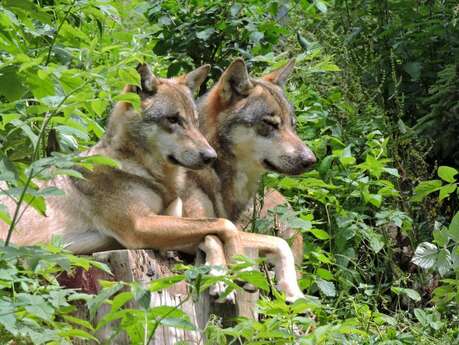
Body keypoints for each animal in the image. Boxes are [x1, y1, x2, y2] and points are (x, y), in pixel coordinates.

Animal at [182, 58, 316, 300]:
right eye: (270, 124)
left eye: (292, 125)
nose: (311, 160)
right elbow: (213, 236)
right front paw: (218, 275)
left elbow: (280, 246)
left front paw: (292, 290)